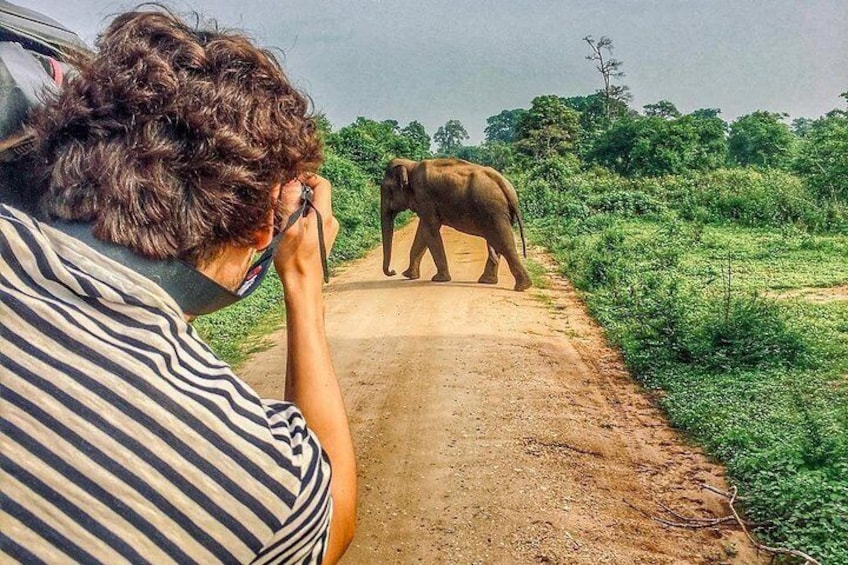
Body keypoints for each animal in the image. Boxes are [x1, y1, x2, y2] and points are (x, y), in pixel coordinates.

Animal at [380, 159, 528, 290]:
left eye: (388, 190)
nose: (393, 271)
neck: (411, 165)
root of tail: (505, 184)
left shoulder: (424, 197)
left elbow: (430, 230)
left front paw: (439, 279)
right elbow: (422, 232)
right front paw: (409, 275)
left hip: (494, 210)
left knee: (503, 242)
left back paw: (522, 286)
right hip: (499, 212)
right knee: (497, 243)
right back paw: (488, 281)